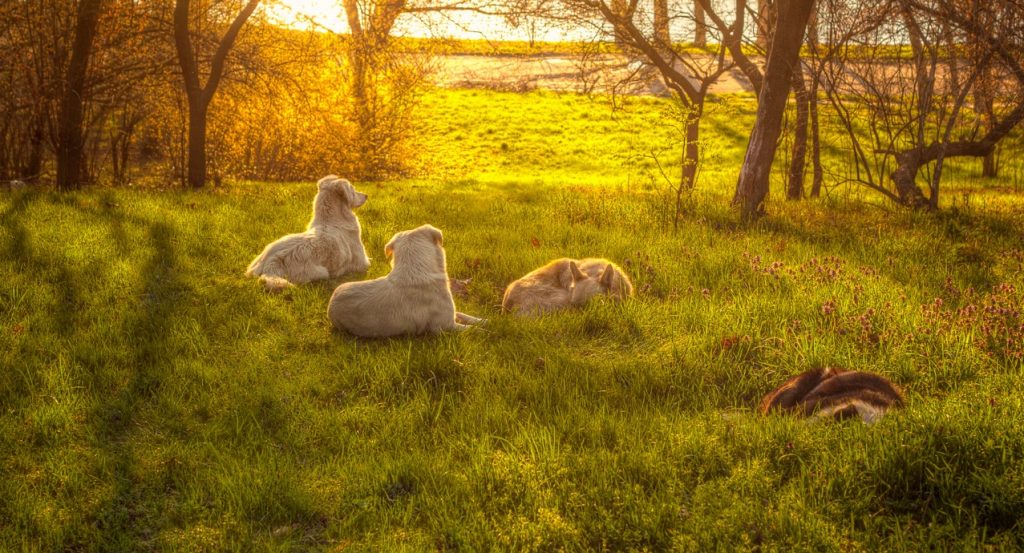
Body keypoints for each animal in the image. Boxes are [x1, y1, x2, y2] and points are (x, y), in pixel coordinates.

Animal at [329, 224, 485, 337]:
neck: (415, 270)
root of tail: (330, 306)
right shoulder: (445, 326)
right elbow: (469, 329)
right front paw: (484, 331)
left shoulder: (451, 315)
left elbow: (464, 315)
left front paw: (483, 320)